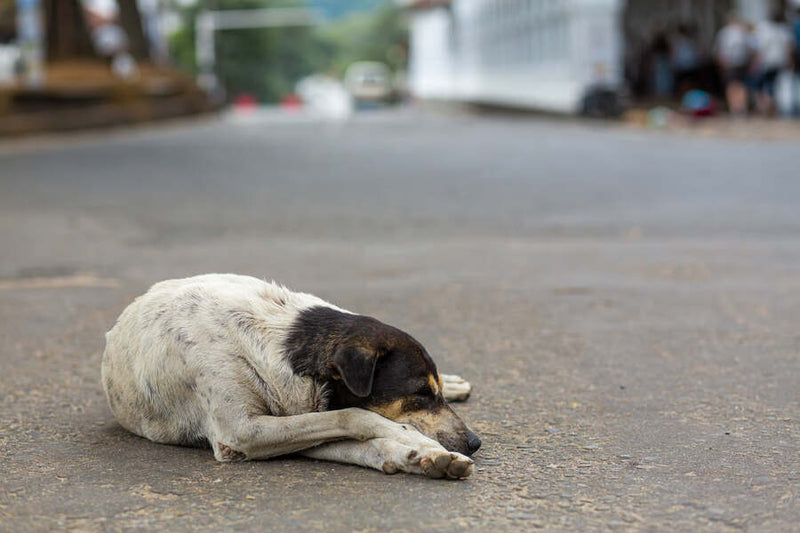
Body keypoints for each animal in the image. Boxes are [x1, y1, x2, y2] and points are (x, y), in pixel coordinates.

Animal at [105, 274, 482, 478]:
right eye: (420, 394)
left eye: (431, 393)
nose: (474, 442)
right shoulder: (241, 433)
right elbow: (355, 417)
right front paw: (416, 444)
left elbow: (357, 436)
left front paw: (425, 456)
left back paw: (455, 383)